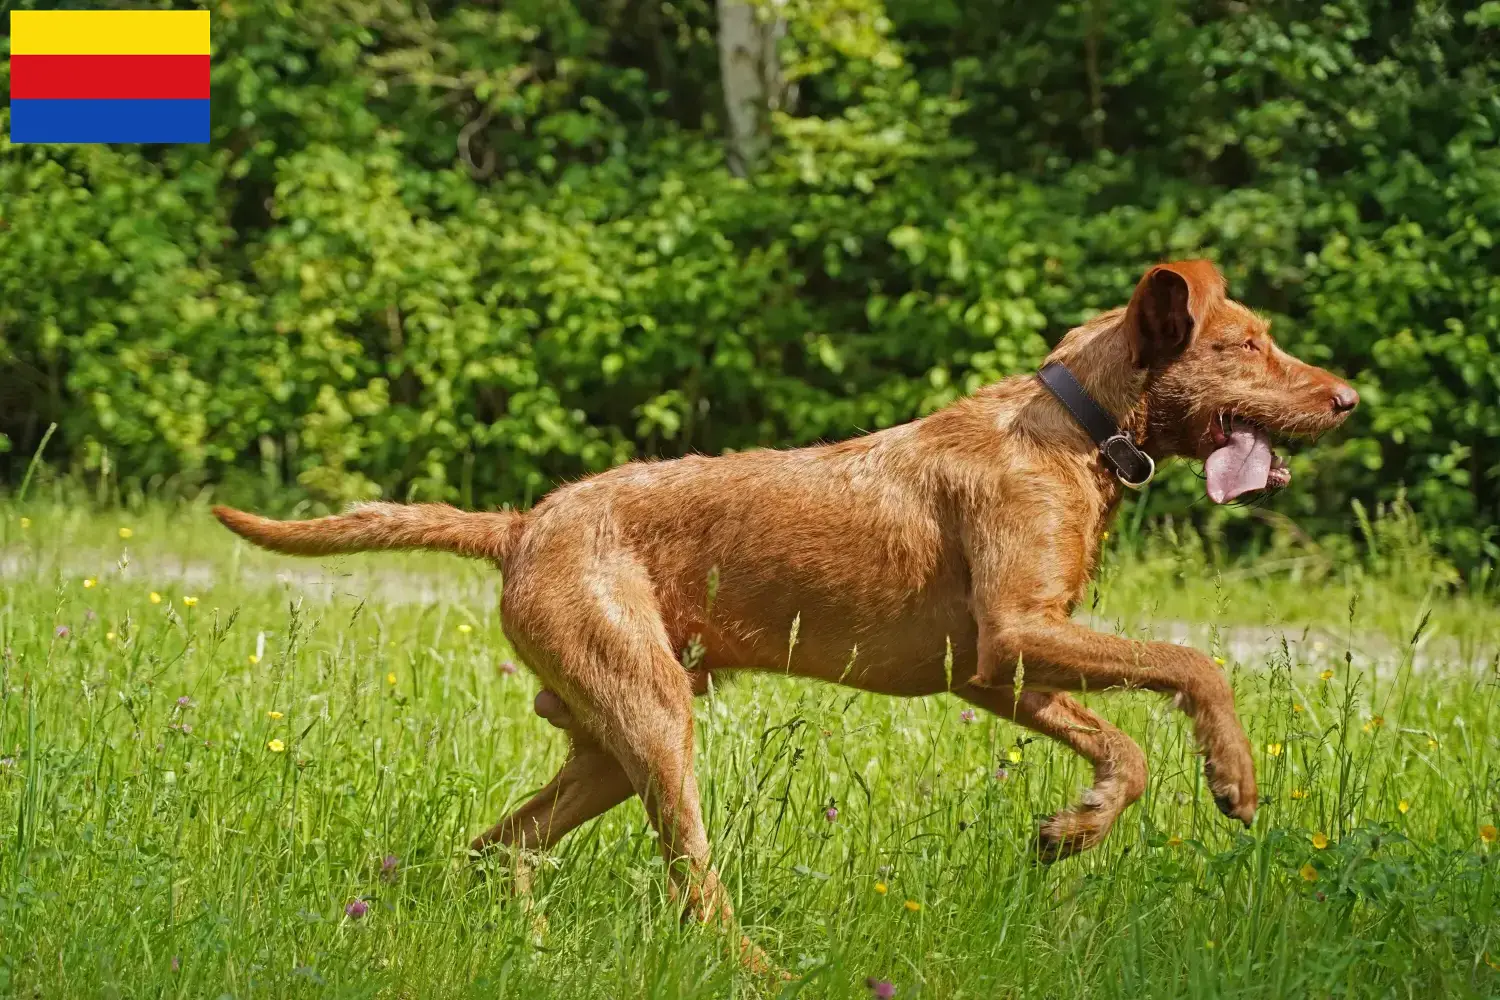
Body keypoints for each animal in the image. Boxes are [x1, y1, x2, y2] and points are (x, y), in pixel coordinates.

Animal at [214, 257, 1362, 929]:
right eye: (1247, 344)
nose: (1350, 398)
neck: (1076, 428)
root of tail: (523, 524)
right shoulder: (1015, 634)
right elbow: (1192, 662)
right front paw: (1234, 776)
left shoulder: (993, 669)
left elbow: (1123, 747)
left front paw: (1073, 828)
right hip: (654, 725)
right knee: (693, 884)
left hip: (608, 746)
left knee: (499, 846)